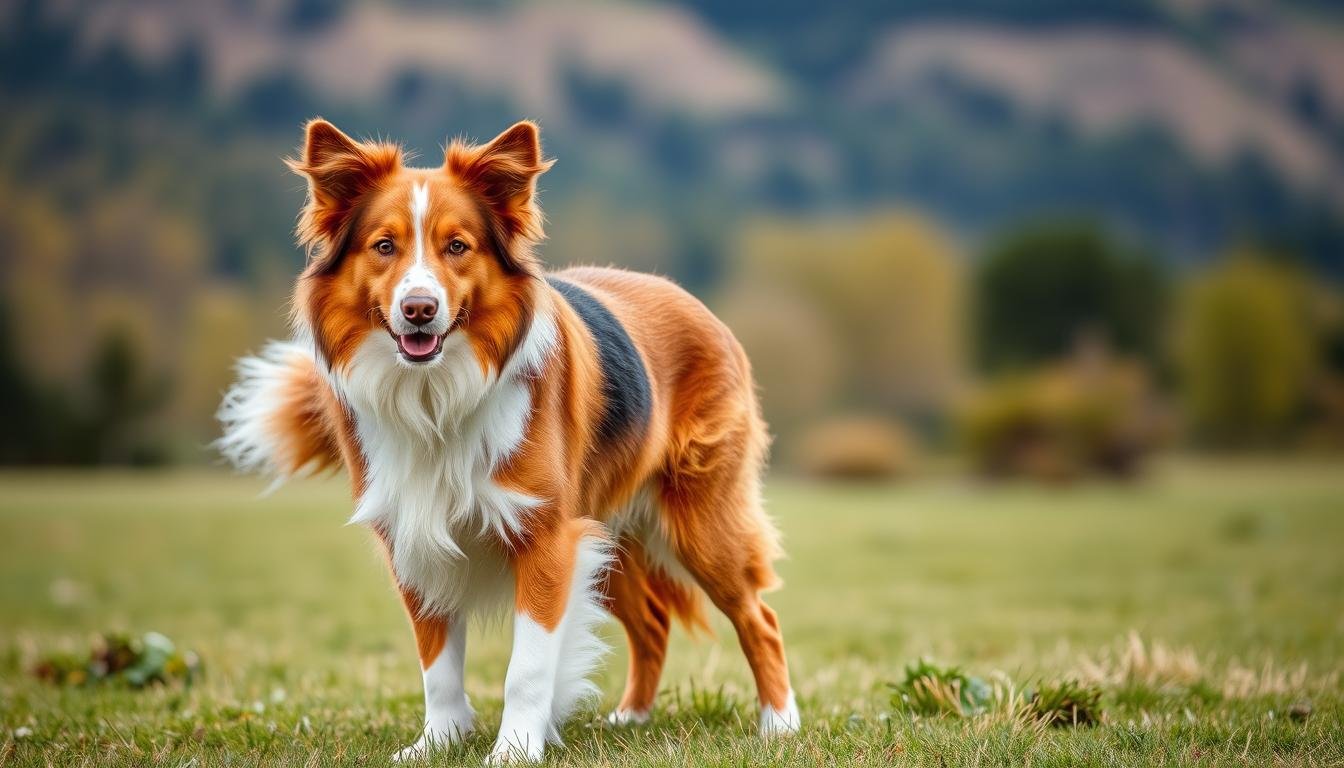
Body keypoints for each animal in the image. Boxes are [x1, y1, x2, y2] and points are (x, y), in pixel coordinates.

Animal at [213, 119, 790, 763]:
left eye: (458, 247)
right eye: (384, 246)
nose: (419, 309)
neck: (435, 395)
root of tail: (693, 301)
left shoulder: (547, 538)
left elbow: (528, 667)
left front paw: (515, 748)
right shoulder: (416, 538)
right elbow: (436, 662)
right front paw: (438, 741)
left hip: (701, 524)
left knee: (759, 619)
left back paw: (779, 724)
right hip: (604, 532)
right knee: (653, 621)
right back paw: (632, 717)